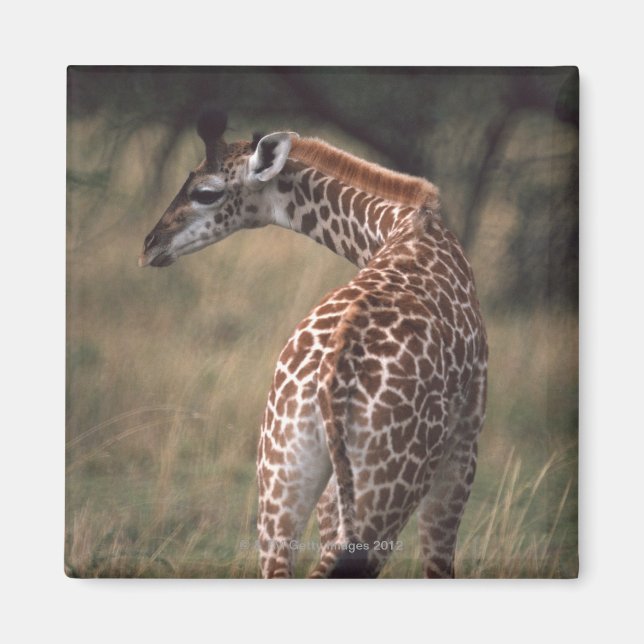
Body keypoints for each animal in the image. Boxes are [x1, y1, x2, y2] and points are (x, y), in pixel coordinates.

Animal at [139, 109, 488, 578]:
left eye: (205, 192)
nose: (149, 246)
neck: (401, 226)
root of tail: (329, 381)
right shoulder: (464, 442)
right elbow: (439, 562)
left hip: (282, 473)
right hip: (388, 485)